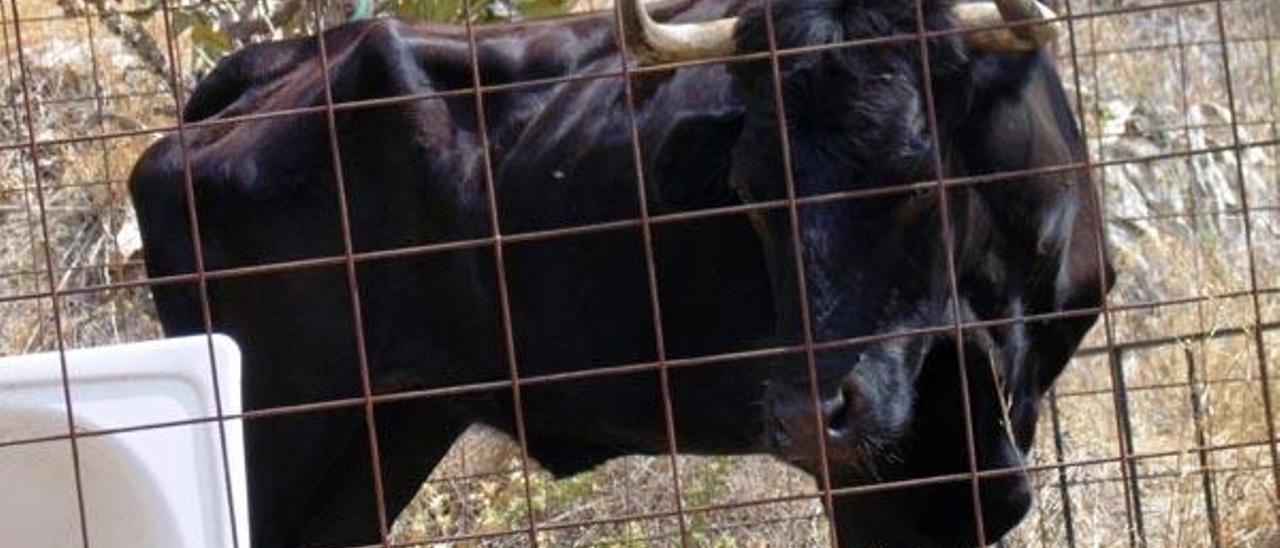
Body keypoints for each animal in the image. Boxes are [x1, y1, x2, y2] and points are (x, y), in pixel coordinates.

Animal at [129, 0, 1111, 545]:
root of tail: (281, 64)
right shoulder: (881, 477)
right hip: (276, 428)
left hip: (379, 435)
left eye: (918, 169)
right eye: (749, 189)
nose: (807, 411)